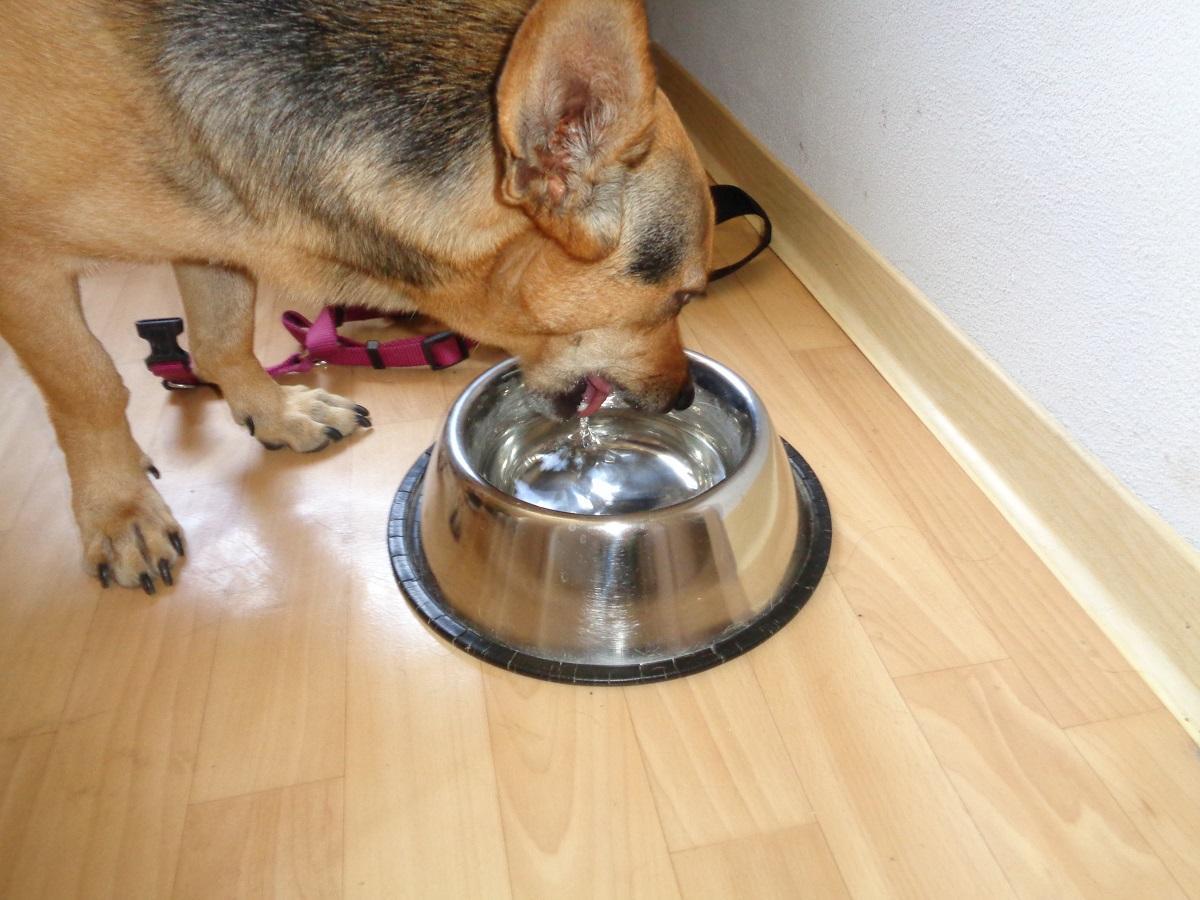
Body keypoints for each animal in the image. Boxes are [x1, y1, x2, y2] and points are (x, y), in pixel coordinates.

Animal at [0, 0, 710, 595]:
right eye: (681, 297)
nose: (685, 396)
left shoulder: (214, 234)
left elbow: (223, 339)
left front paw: (275, 412)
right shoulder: (25, 268)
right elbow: (91, 386)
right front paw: (119, 511)